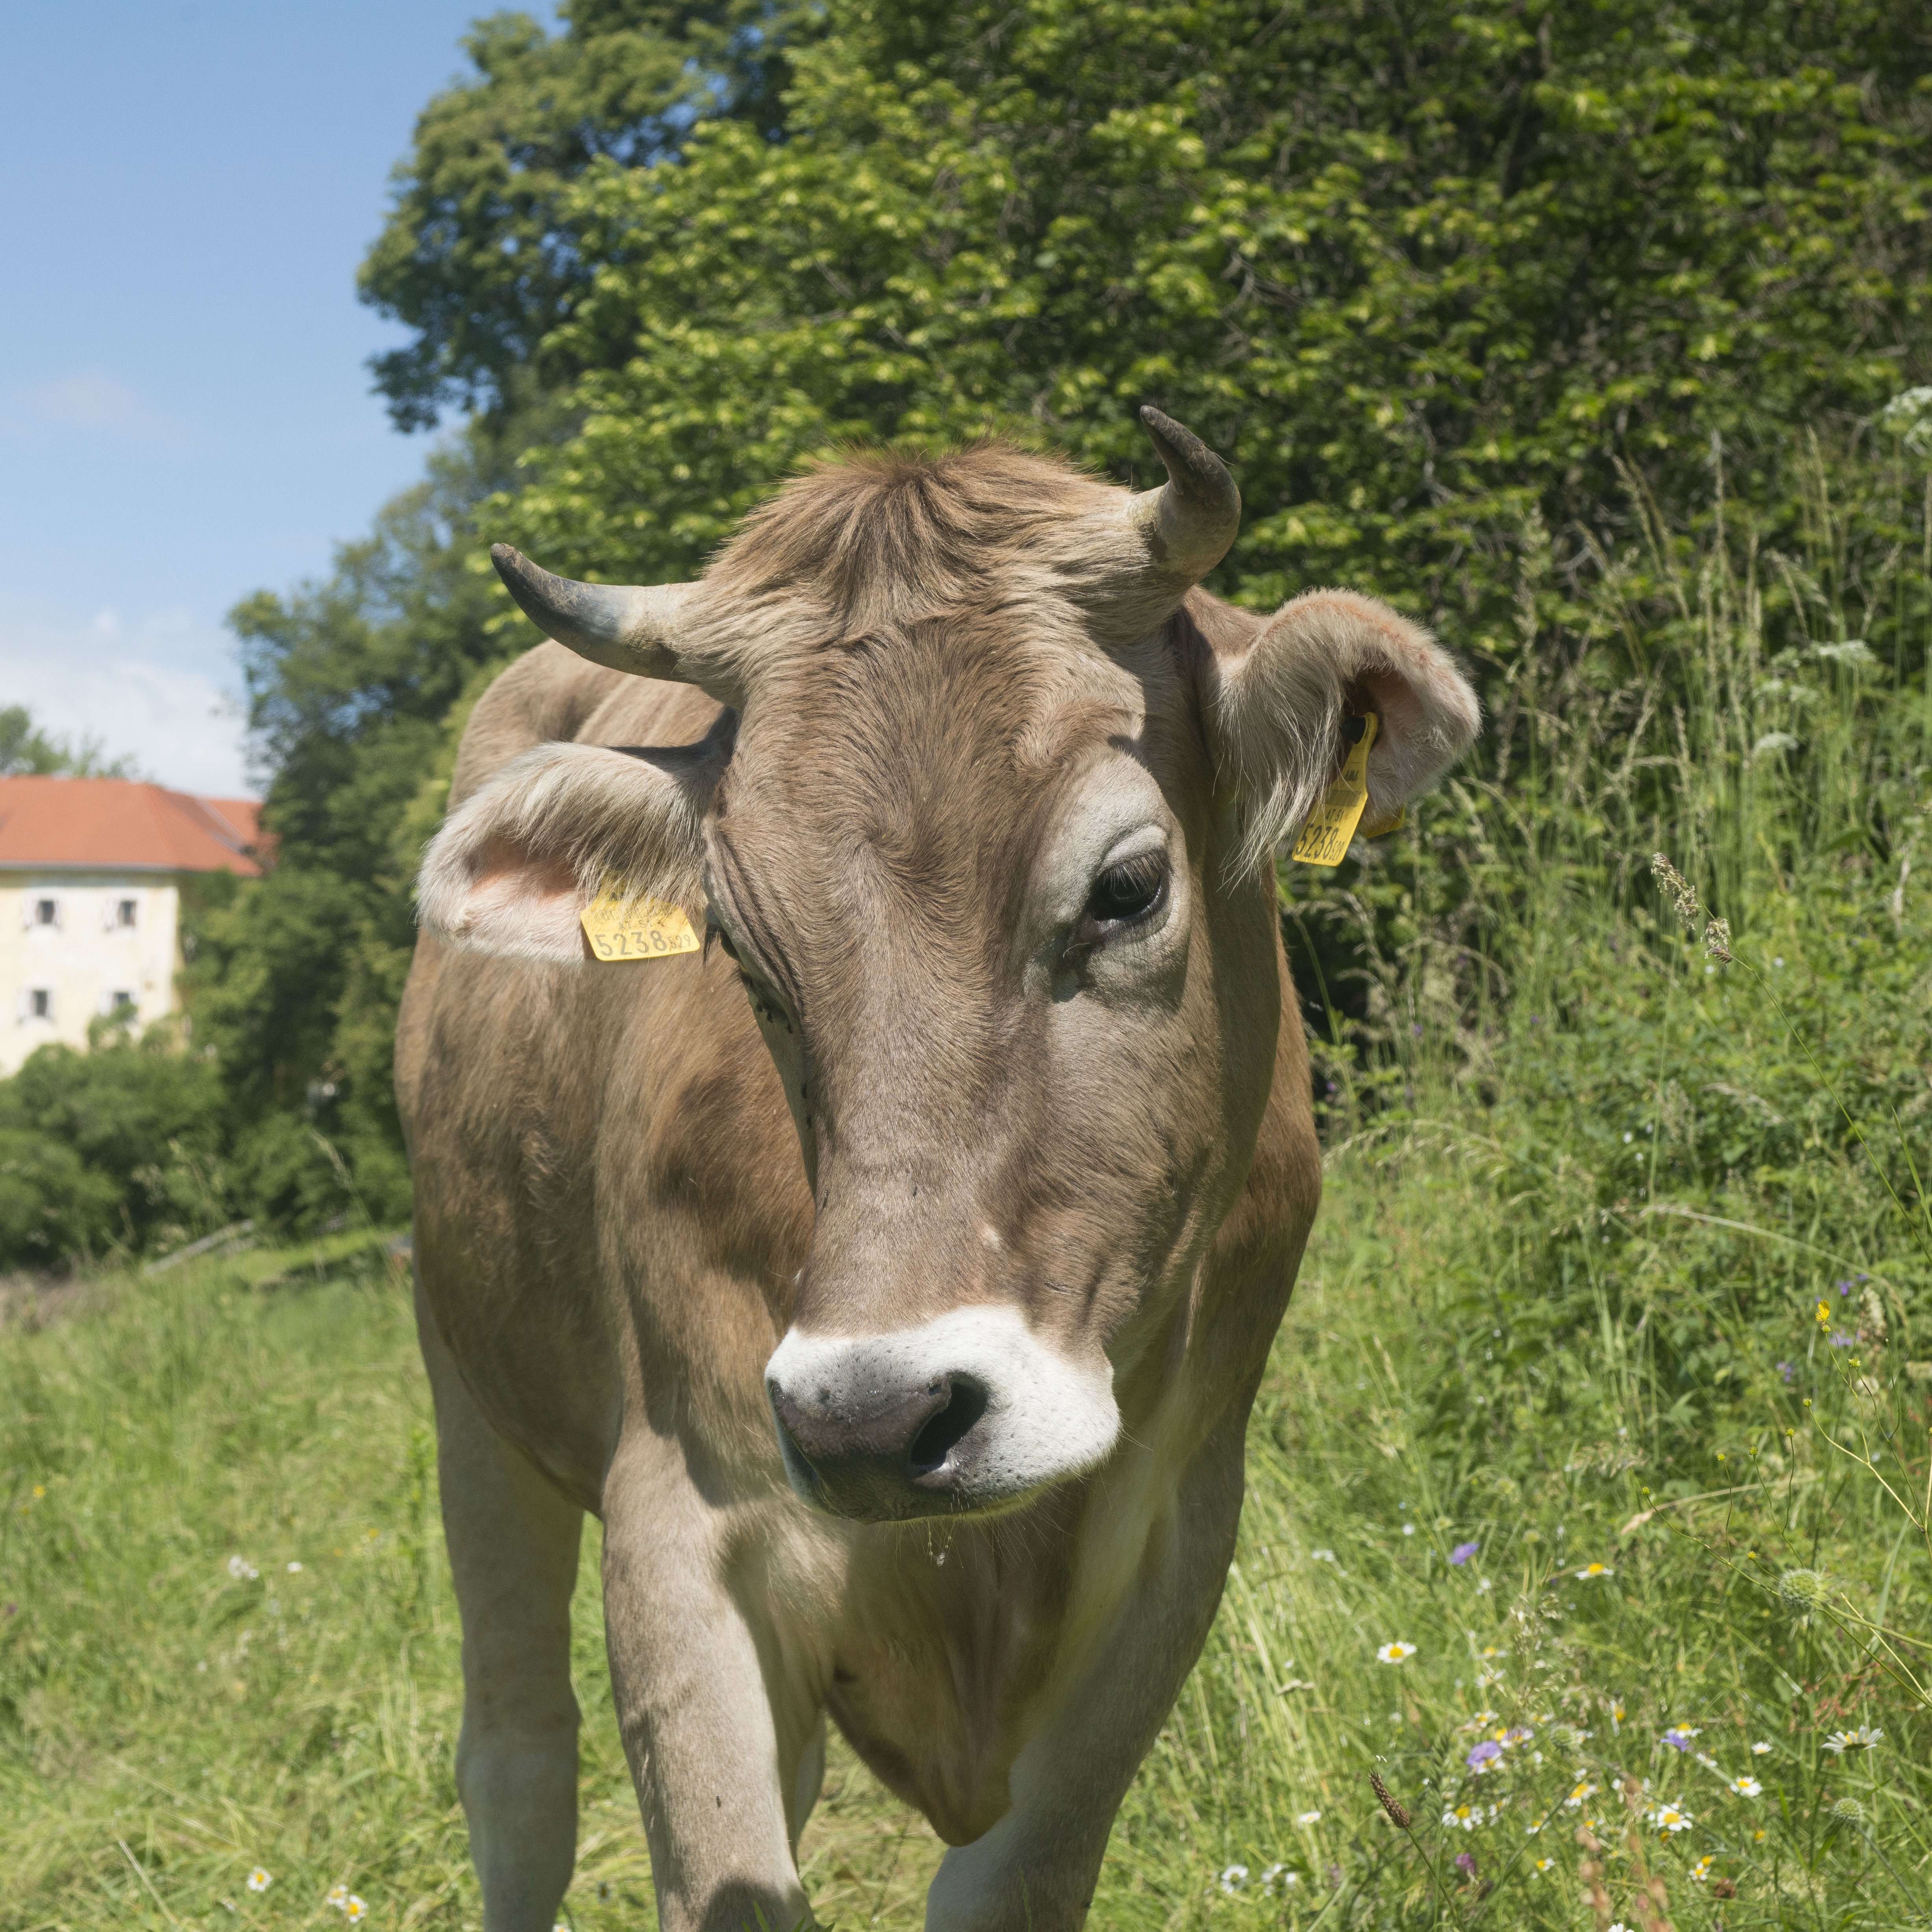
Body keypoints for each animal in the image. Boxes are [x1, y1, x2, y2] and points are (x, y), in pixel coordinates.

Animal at [396, 409, 1479, 1932]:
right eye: (739, 951)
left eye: (1128, 888)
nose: (871, 1416)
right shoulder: (677, 1512)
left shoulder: (1177, 1537)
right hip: (466, 1380)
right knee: (517, 1761)